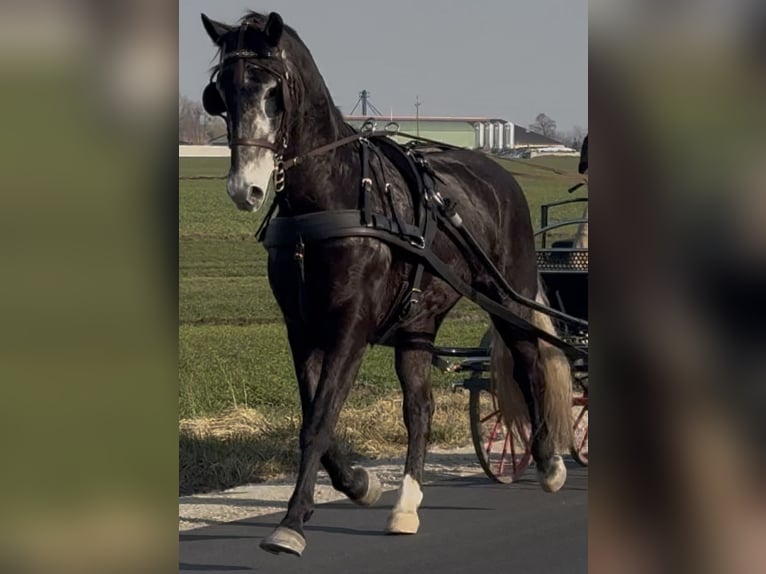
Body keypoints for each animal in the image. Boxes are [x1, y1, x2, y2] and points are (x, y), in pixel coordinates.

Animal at [201, 9, 572, 560]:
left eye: (273, 92)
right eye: (221, 94)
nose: (244, 189)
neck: (327, 202)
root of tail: (494, 170)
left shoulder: (350, 327)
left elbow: (319, 420)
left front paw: (291, 523)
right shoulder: (301, 328)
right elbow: (314, 417)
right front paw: (360, 484)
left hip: (509, 293)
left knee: (530, 361)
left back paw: (549, 463)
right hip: (417, 324)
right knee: (419, 407)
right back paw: (406, 505)